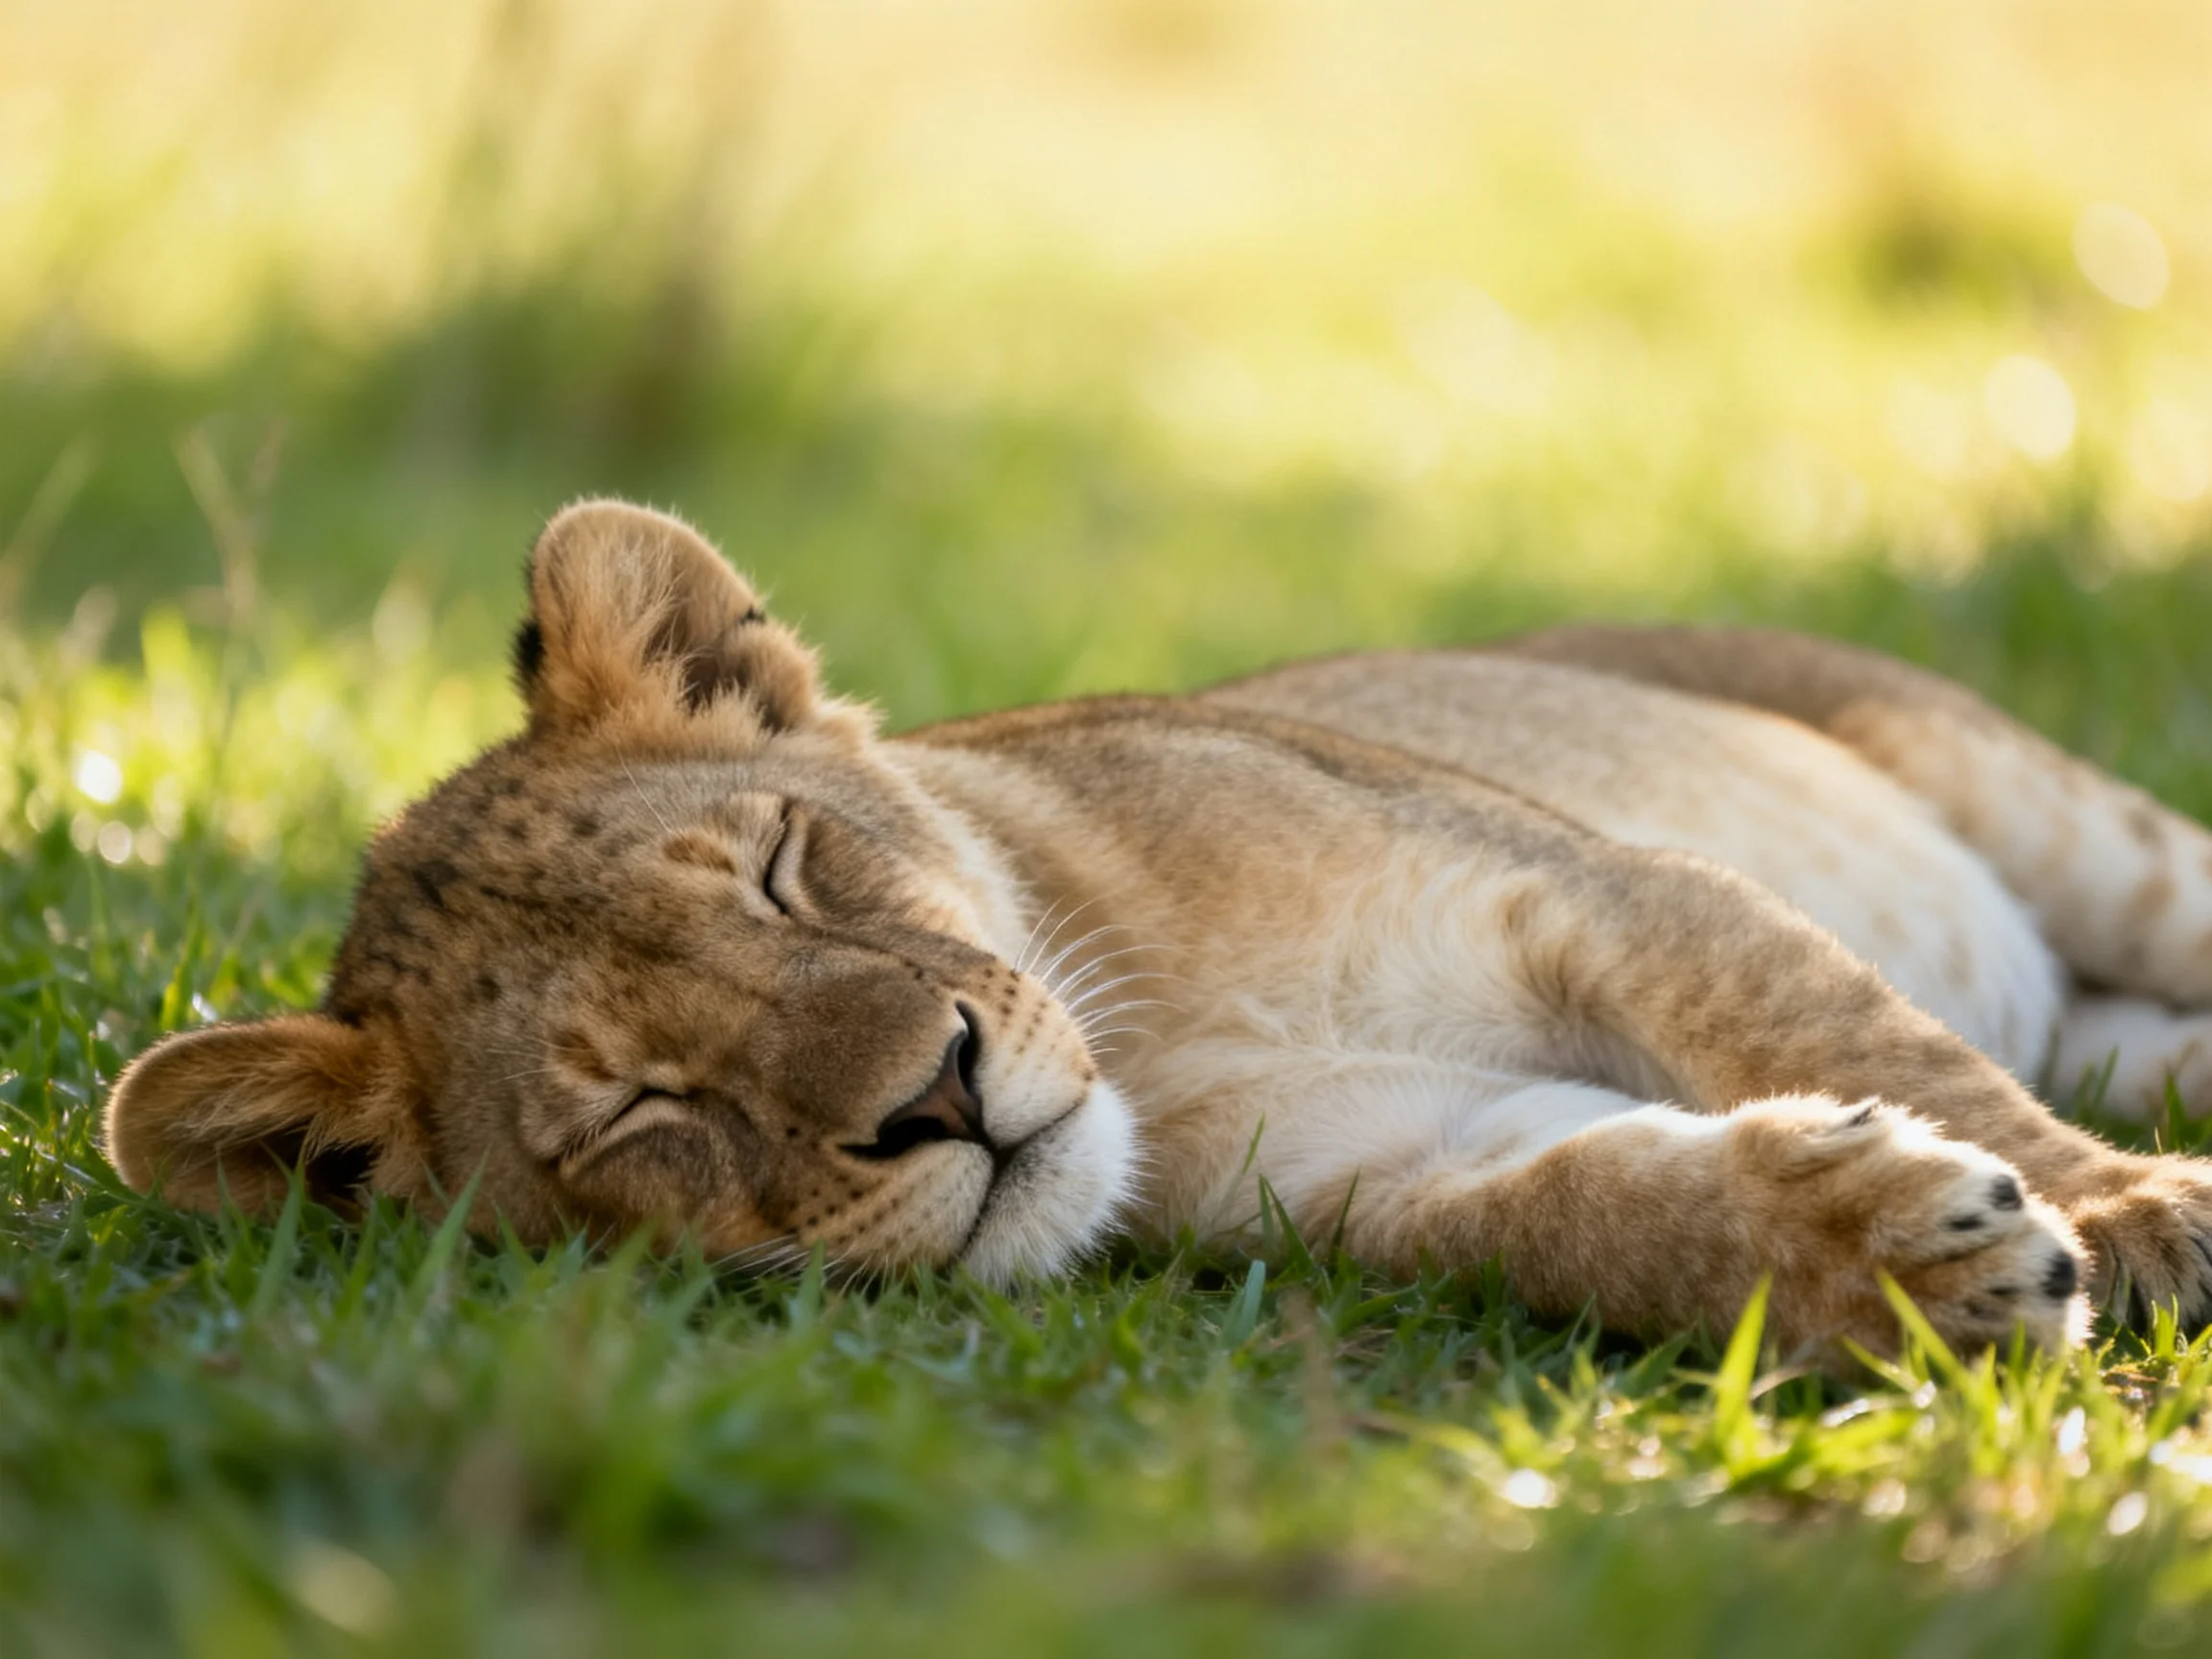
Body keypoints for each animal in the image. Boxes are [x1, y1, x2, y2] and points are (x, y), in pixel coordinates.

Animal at [105, 500, 2212, 1362]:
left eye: (782, 867)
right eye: (640, 1107)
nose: (940, 1097)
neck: (1160, 1019)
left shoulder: (1601, 890)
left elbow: (1860, 1041)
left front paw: (2119, 1220)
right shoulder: (1385, 1163)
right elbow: (1601, 1212)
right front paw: (1896, 1260)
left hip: (2069, 827)